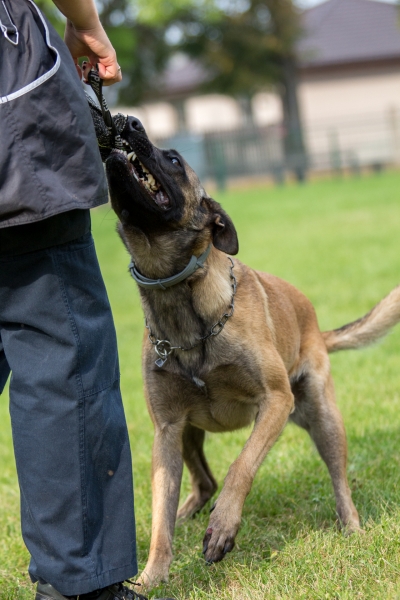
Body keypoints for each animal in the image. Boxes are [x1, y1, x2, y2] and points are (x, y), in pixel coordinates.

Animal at [105, 118, 400, 592]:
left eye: (174, 159)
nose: (129, 123)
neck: (182, 301)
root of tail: (315, 325)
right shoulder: (166, 430)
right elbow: (159, 521)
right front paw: (152, 577)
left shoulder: (276, 401)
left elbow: (240, 467)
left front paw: (223, 526)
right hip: (189, 433)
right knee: (202, 481)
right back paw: (188, 512)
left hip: (321, 416)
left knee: (339, 479)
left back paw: (352, 528)